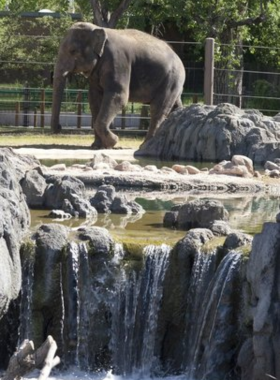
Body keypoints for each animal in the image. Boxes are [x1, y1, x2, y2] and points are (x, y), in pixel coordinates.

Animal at [50, 21, 186, 150]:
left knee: (158, 109)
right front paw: (97, 146)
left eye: (73, 51)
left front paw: (113, 141)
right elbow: (94, 99)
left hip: (171, 80)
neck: (98, 29)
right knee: (174, 106)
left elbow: (118, 96)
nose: (60, 127)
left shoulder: (118, 60)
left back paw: (146, 145)